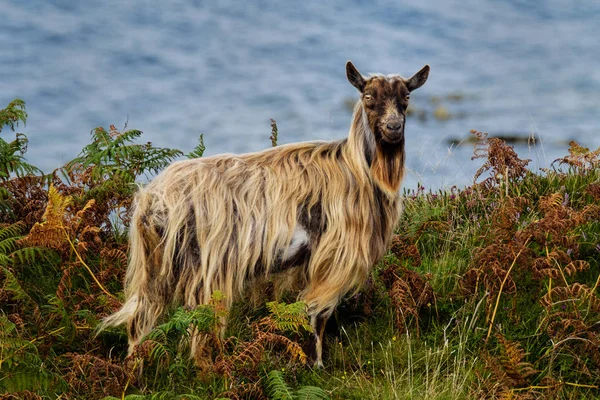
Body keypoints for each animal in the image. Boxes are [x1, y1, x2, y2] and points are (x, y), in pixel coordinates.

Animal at [98, 60, 428, 368]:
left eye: (406, 97)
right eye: (369, 97)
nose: (393, 128)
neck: (357, 169)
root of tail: (152, 199)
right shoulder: (333, 257)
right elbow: (316, 313)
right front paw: (316, 365)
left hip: (156, 265)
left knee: (141, 319)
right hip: (204, 269)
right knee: (198, 324)